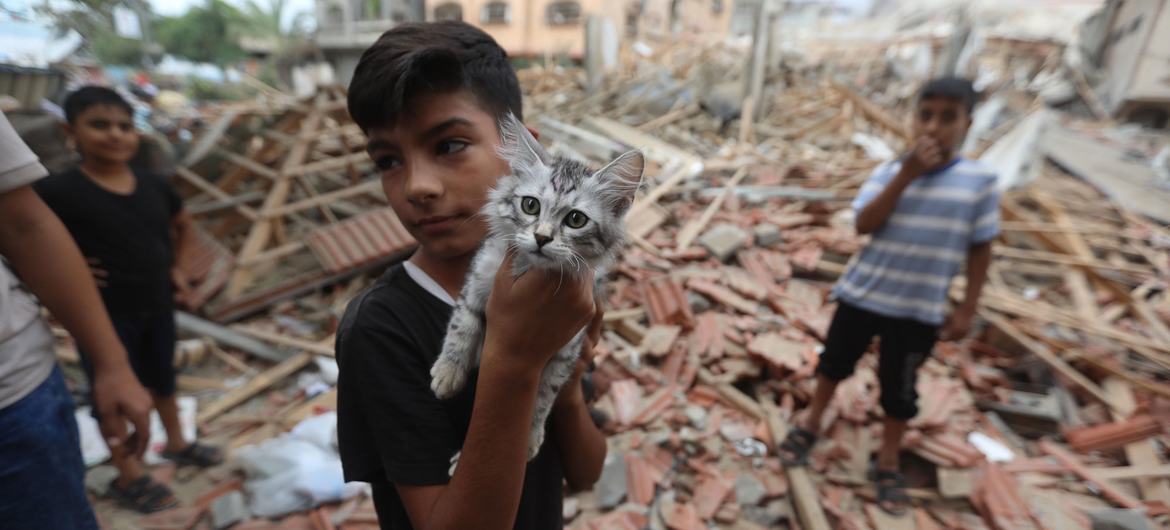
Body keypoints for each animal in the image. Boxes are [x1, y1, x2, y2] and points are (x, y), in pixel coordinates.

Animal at [430, 112, 645, 463]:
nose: (542, 237)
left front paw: (530, 437)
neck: (530, 270)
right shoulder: (478, 278)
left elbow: (543, 397)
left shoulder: (566, 349)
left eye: (575, 220)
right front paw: (449, 371)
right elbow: (462, 325)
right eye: (530, 205)